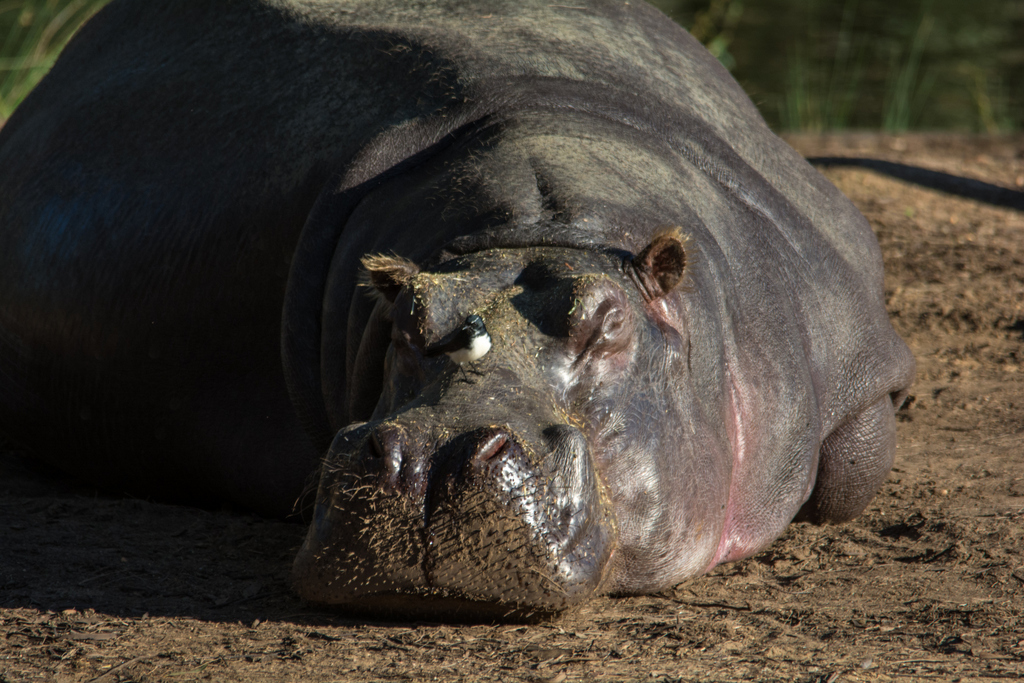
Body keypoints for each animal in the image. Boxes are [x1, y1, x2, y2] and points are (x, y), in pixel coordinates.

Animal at [0, 0, 915, 620]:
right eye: (402, 313)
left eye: (608, 319)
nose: (432, 458)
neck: (536, 235)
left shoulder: (855, 369)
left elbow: (853, 463)